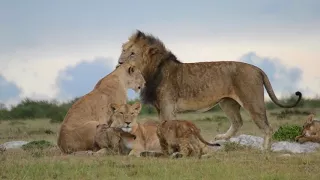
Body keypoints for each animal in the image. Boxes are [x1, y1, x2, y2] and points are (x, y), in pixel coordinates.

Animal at [117, 29, 302, 150]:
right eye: (123, 51)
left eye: (132, 53)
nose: (119, 63)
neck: (151, 71)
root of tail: (257, 69)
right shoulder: (160, 108)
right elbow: (160, 128)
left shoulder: (168, 107)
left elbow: (165, 127)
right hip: (227, 102)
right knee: (238, 122)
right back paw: (221, 138)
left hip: (252, 101)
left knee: (267, 127)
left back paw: (265, 150)